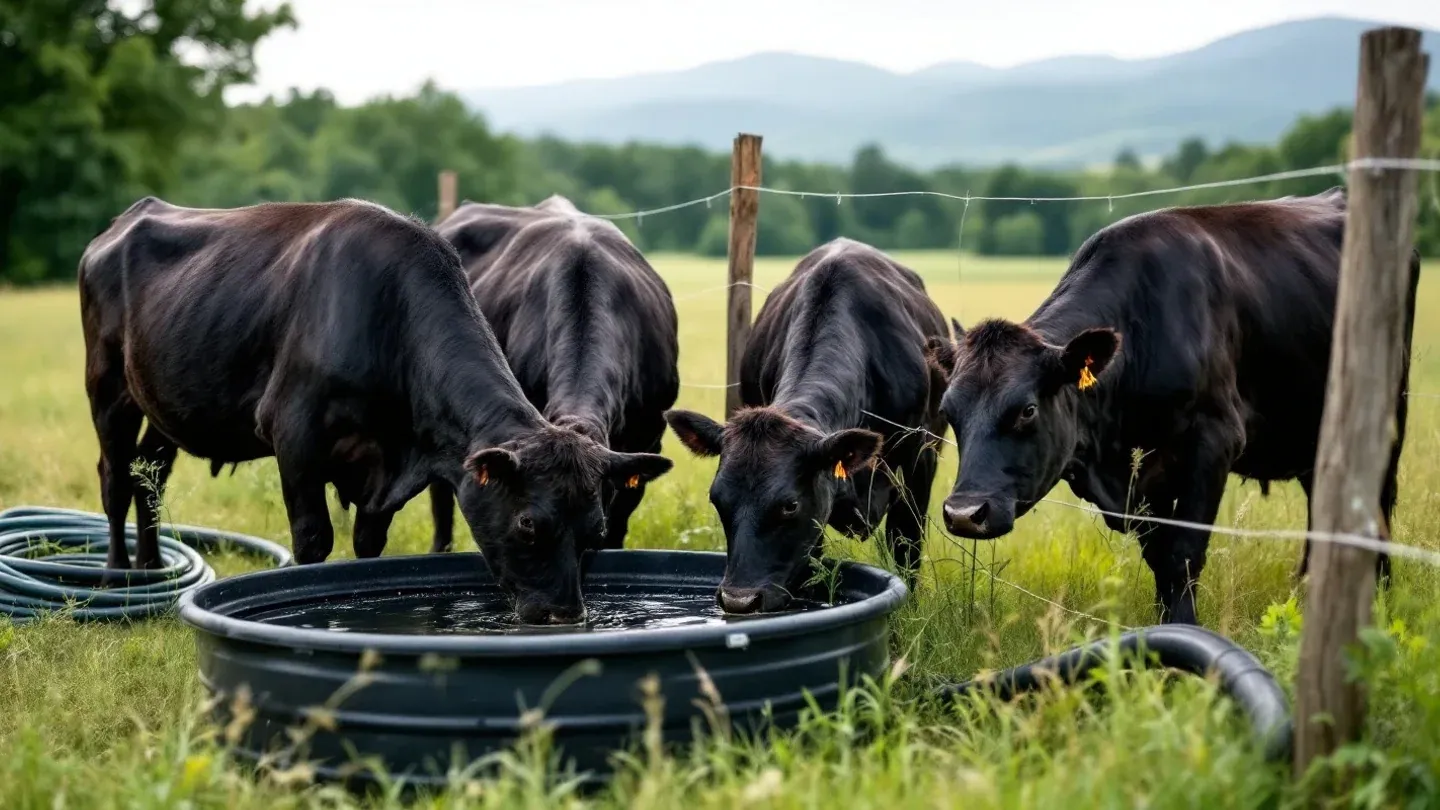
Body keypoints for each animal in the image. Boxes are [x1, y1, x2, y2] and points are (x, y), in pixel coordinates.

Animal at [664, 238, 952, 614]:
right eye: (716, 499)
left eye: (789, 505)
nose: (738, 601)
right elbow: (811, 566)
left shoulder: (920, 458)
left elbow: (906, 544)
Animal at [928, 188, 1418, 625]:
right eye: (949, 411)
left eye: (1027, 410)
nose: (964, 514)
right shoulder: (1147, 477)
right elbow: (1158, 556)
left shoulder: (1213, 441)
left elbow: (1181, 553)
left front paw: (1184, 629)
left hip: (1388, 412)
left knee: (1377, 504)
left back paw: (1378, 595)